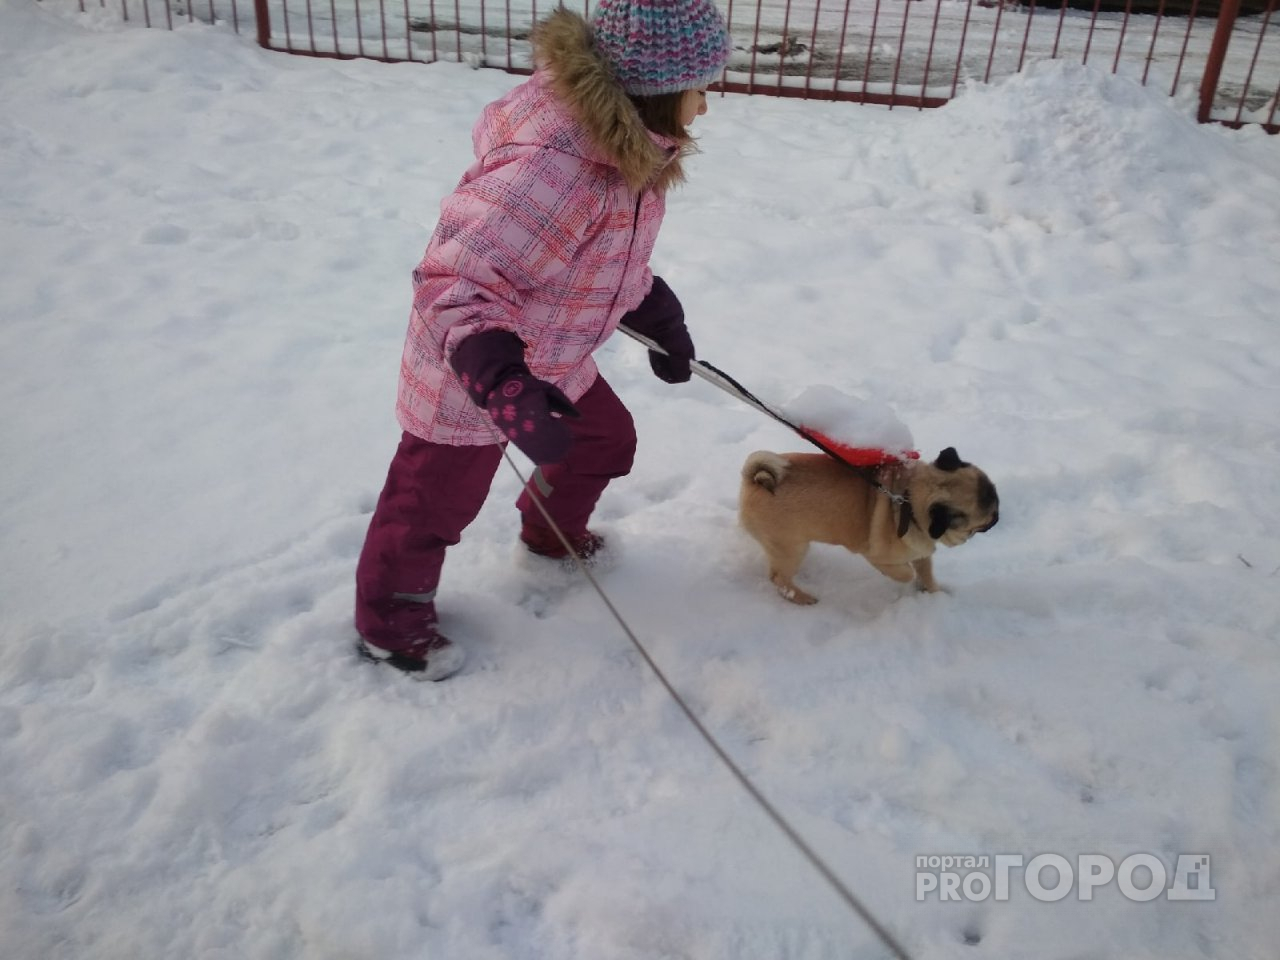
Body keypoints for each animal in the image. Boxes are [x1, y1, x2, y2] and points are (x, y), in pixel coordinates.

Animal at [737, 450, 993, 601]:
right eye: (988, 517)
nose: (997, 518)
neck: (909, 500)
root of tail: (757, 480)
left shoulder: (922, 554)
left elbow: (927, 573)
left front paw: (934, 593)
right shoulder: (879, 558)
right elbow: (906, 573)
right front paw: (911, 581)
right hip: (790, 547)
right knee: (779, 579)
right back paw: (802, 598)